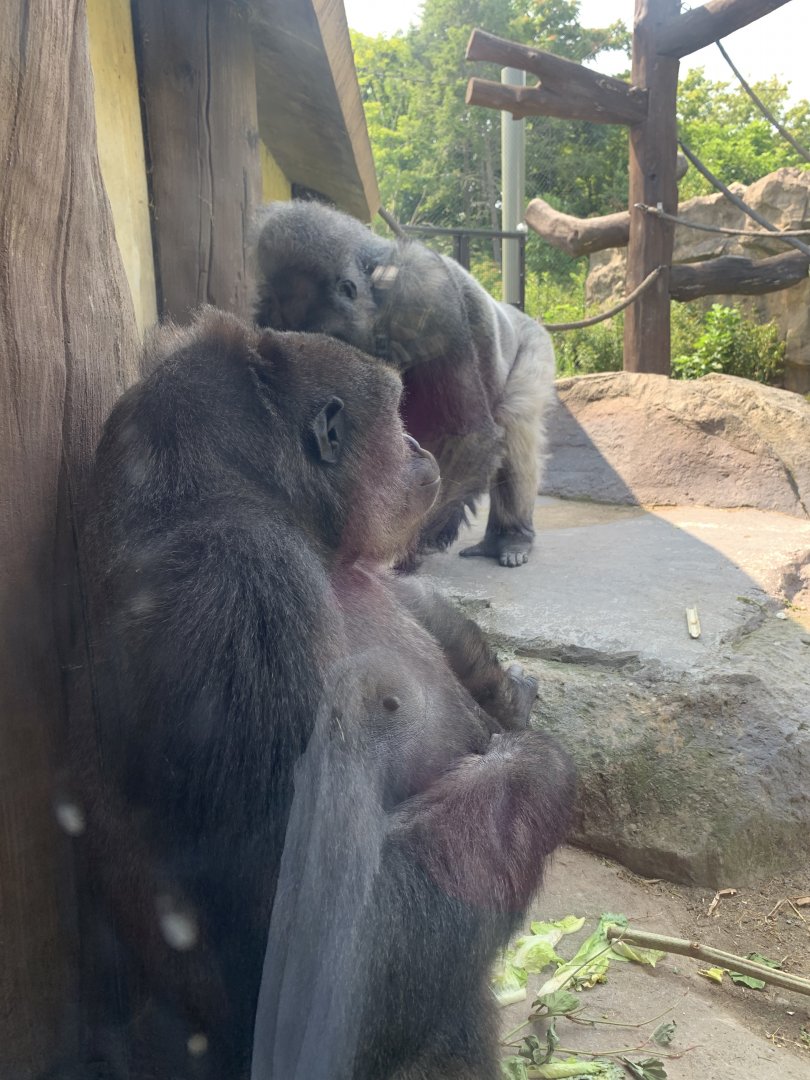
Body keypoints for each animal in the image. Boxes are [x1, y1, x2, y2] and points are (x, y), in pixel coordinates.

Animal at [53, 308, 573, 1079]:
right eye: (397, 408)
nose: (416, 444)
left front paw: (493, 679)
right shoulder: (246, 593)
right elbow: (319, 947)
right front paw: (540, 759)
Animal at [252, 198, 557, 568]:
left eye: (332, 343)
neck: (375, 283)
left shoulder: (427, 294)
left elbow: (467, 435)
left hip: (534, 341)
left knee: (516, 421)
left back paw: (511, 535)